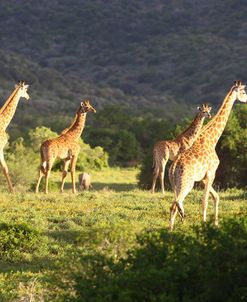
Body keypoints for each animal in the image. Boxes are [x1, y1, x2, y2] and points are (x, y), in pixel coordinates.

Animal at [170, 81, 247, 230]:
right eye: (243, 92)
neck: (212, 140)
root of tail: (173, 167)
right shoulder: (211, 173)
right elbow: (205, 201)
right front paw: (205, 224)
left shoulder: (203, 178)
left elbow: (216, 197)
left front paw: (215, 224)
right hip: (187, 182)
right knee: (177, 202)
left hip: (174, 184)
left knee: (174, 204)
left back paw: (170, 229)